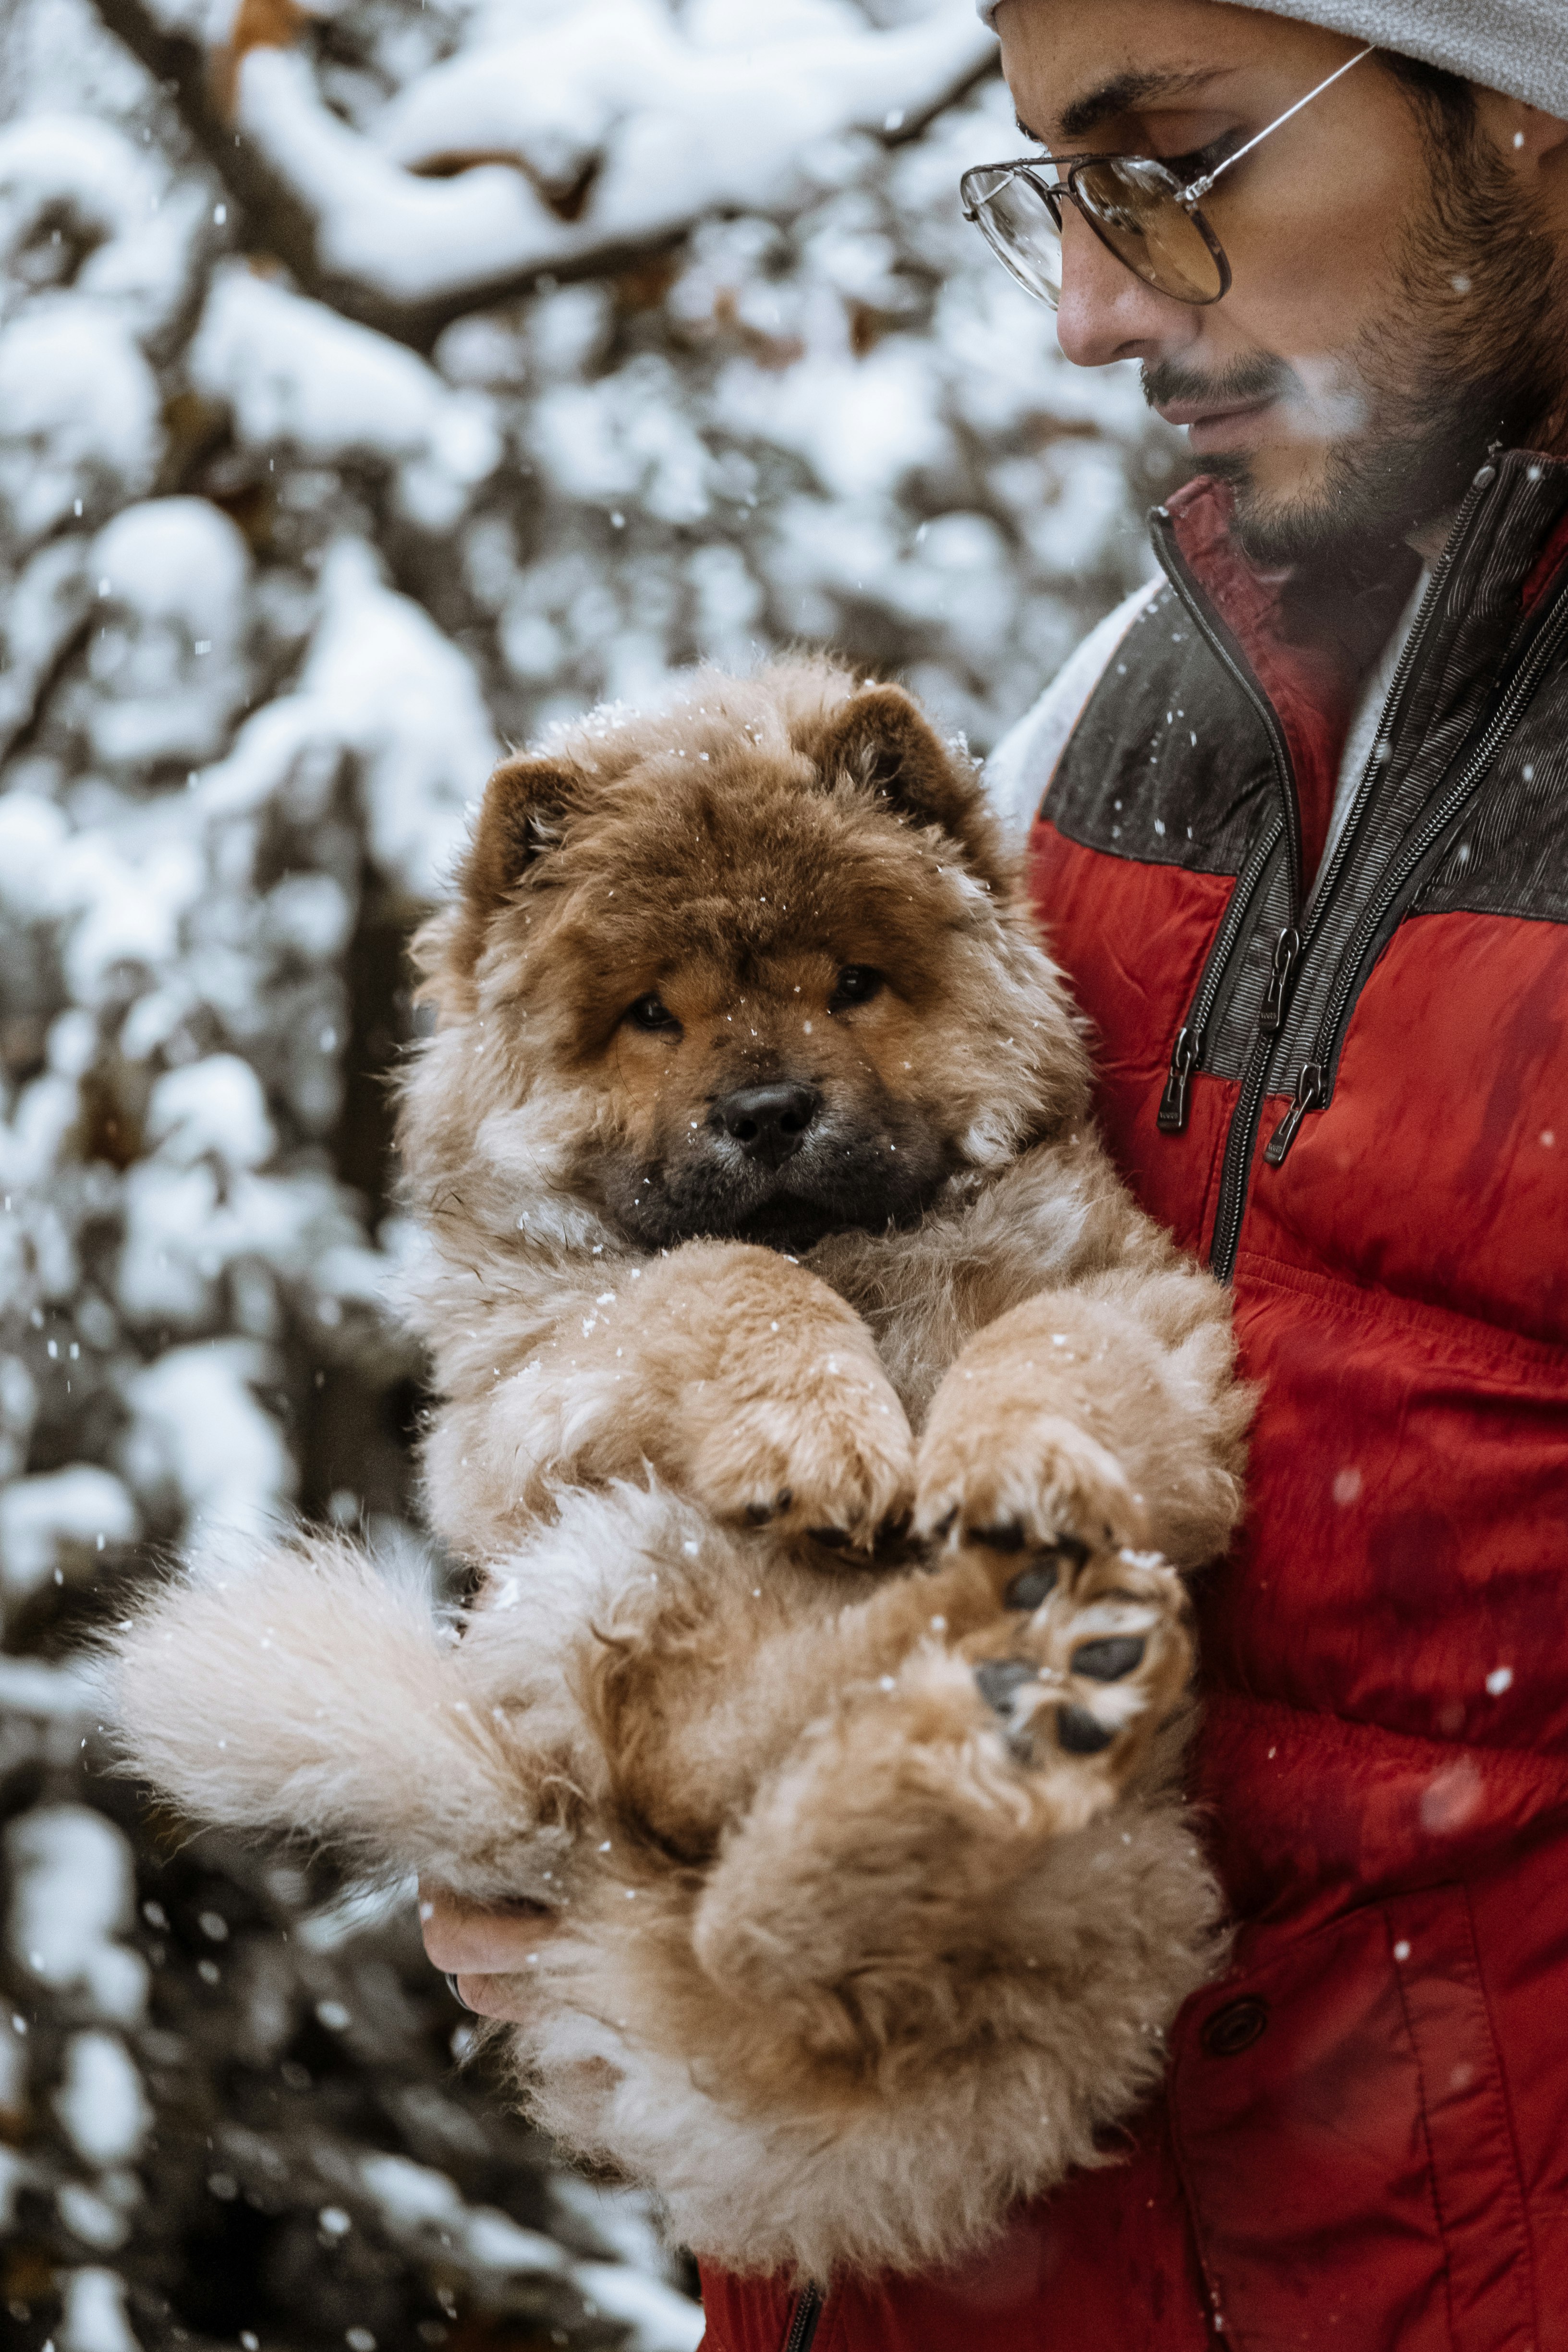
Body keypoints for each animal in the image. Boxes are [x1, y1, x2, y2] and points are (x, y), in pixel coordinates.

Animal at [107, 663, 1251, 2277]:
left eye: (851, 983)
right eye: (652, 1014)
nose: (765, 1110)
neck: (857, 1256)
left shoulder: (1143, 1308)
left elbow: (1046, 1345)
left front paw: (1011, 1462)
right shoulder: (521, 1385)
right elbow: (718, 1276)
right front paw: (826, 1432)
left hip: (1120, 1878)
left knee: (768, 1929)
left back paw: (1012, 1665)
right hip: (608, 1554)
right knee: (706, 1825)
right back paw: (1001, 1675)